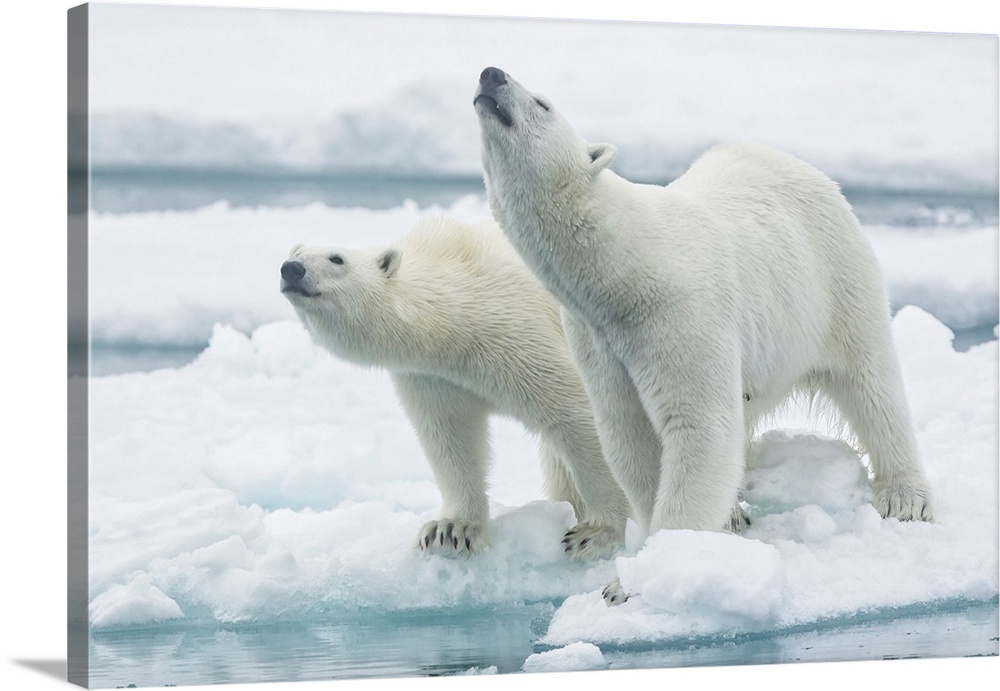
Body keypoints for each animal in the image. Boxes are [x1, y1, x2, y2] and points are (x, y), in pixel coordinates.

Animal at [278, 216, 628, 564]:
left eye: (337, 259)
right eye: (298, 252)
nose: (291, 268)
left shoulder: (518, 333)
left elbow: (575, 413)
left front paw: (597, 535)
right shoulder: (433, 376)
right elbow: (450, 436)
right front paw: (449, 530)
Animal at [472, 67, 932, 600]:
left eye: (542, 103)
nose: (491, 74)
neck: (625, 267)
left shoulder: (680, 313)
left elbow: (699, 427)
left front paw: (634, 581)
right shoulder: (598, 338)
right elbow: (630, 437)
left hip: (834, 278)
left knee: (871, 381)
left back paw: (906, 496)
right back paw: (733, 514)